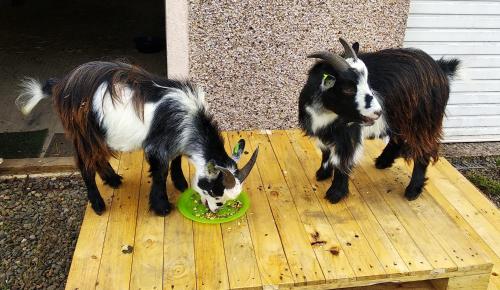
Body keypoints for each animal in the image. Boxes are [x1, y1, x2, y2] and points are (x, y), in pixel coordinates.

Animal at [16, 61, 258, 215]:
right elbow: (159, 173)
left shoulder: (175, 140)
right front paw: (161, 207)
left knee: (99, 157)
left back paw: (113, 179)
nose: (215, 210)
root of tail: (62, 85)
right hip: (83, 132)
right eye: (215, 192)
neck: (188, 115)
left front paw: (180, 183)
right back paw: (98, 204)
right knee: (85, 165)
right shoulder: (157, 147)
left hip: (99, 134)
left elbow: (176, 160)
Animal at [298, 37, 458, 203]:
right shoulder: (323, 131)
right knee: (398, 137)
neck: (326, 112)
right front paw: (322, 174)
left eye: (368, 82)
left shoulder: (348, 135)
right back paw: (383, 162)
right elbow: (326, 152)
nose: (379, 112)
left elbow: (341, 160)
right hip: (400, 116)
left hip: (423, 121)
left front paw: (335, 193)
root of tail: (439, 67)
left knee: (424, 149)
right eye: (348, 89)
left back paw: (413, 190)